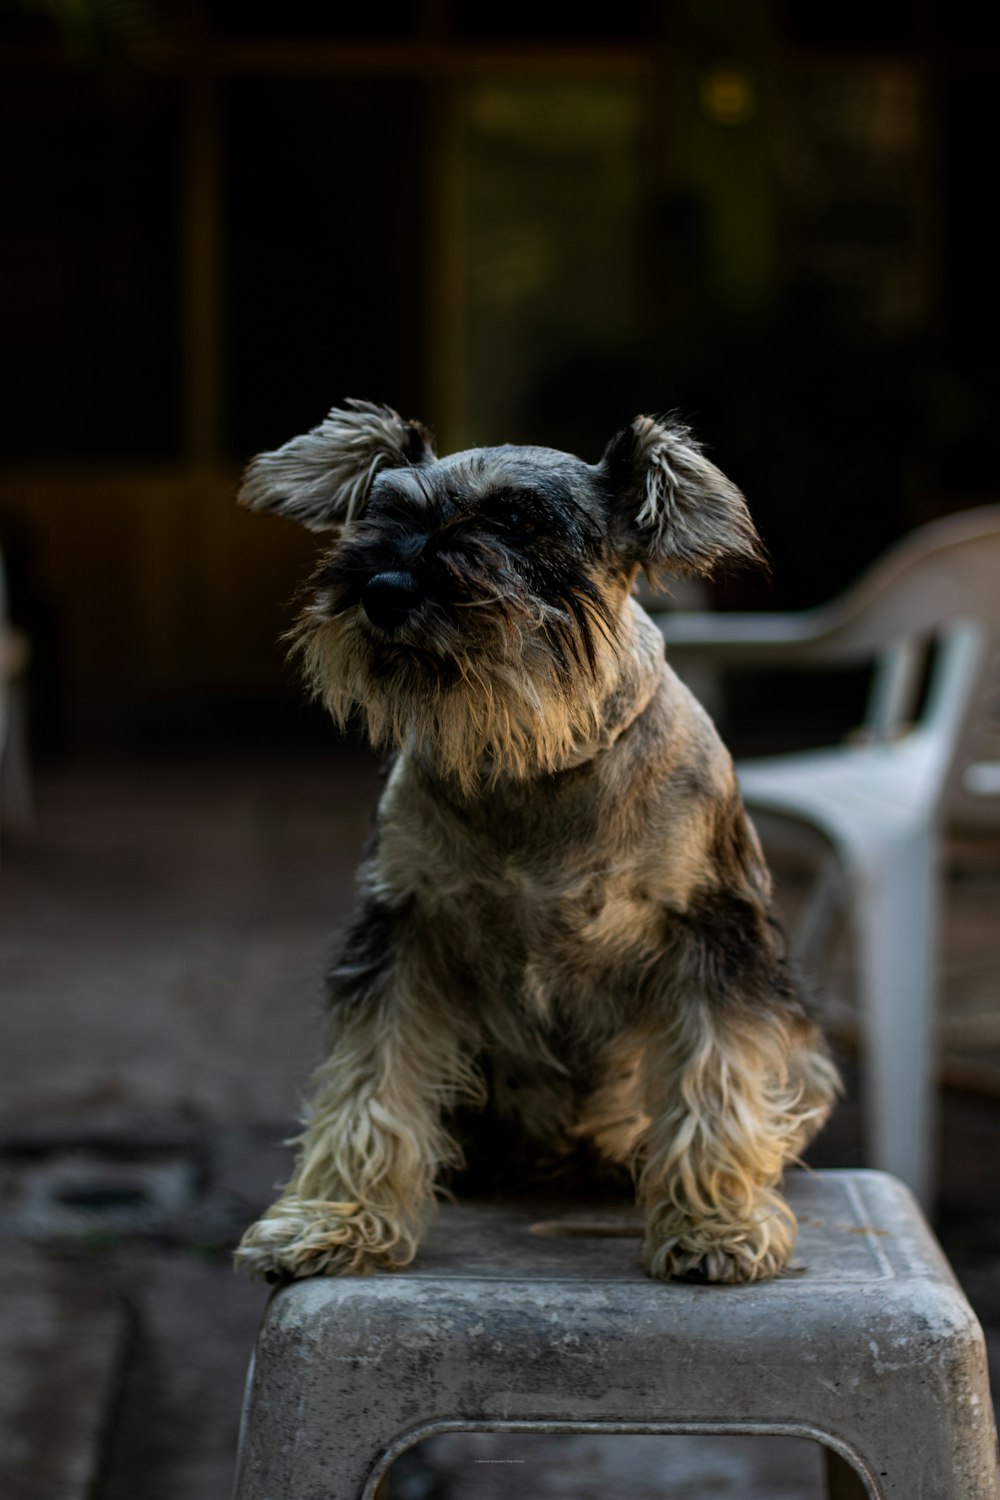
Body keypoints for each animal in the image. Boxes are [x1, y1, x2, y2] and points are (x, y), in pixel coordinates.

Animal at [232, 402, 839, 1290]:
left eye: (516, 521)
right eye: (383, 511)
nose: (381, 590)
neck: (532, 762)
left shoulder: (715, 937)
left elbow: (715, 1077)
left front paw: (716, 1224)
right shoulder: (401, 931)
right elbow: (370, 1080)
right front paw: (334, 1218)